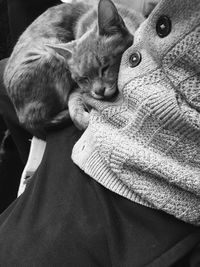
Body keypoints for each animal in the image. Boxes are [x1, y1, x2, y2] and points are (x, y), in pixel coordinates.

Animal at [3, 0, 144, 135]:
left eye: (105, 68)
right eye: (84, 79)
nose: (99, 91)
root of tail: (23, 118)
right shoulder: (79, 87)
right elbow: (73, 101)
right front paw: (83, 119)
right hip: (53, 56)